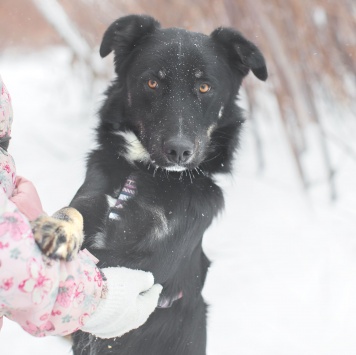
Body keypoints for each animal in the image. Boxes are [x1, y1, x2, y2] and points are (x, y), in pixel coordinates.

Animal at [68, 14, 266, 355]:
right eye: (152, 83)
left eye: (204, 86)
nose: (178, 150)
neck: (147, 174)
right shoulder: (91, 199)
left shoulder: (154, 258)